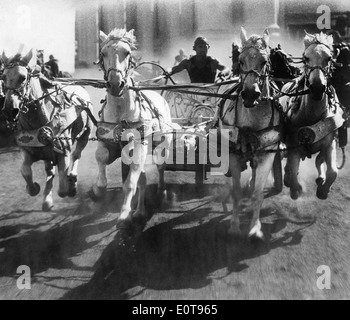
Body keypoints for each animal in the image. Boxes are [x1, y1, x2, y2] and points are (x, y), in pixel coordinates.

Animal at [0, 49, 93, 210]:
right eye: (3, 77)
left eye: (22, 77)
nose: (9, 111)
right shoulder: (28, 150)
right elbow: (25, 171)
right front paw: (34, 188)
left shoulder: (63, 151)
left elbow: (62, 188)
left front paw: (69, 186)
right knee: (49, 170)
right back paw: (47, 199)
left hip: (85, 134)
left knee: (77, 155)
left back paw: (72, 180)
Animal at [91, 28, 174, 234]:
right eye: (103, 53)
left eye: (127, 52)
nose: (115, 84)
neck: (121, 111)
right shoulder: (107, 142)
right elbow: (102, 157)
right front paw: (98, 189)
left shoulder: (139, 145)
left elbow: (130, 183)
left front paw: (123, 215)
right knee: (143, 178)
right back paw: (139, 212)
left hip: (162, 145)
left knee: (159, 167)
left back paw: (161, 191)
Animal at [278, 31, 344, 200]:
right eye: (306, 58)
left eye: (329, 58)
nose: (317, 88)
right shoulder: (294, 146)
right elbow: (293, 172)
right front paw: (295, 189)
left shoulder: (329, 142)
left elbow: (333, 171)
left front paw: (323, 190)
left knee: (319, 161)